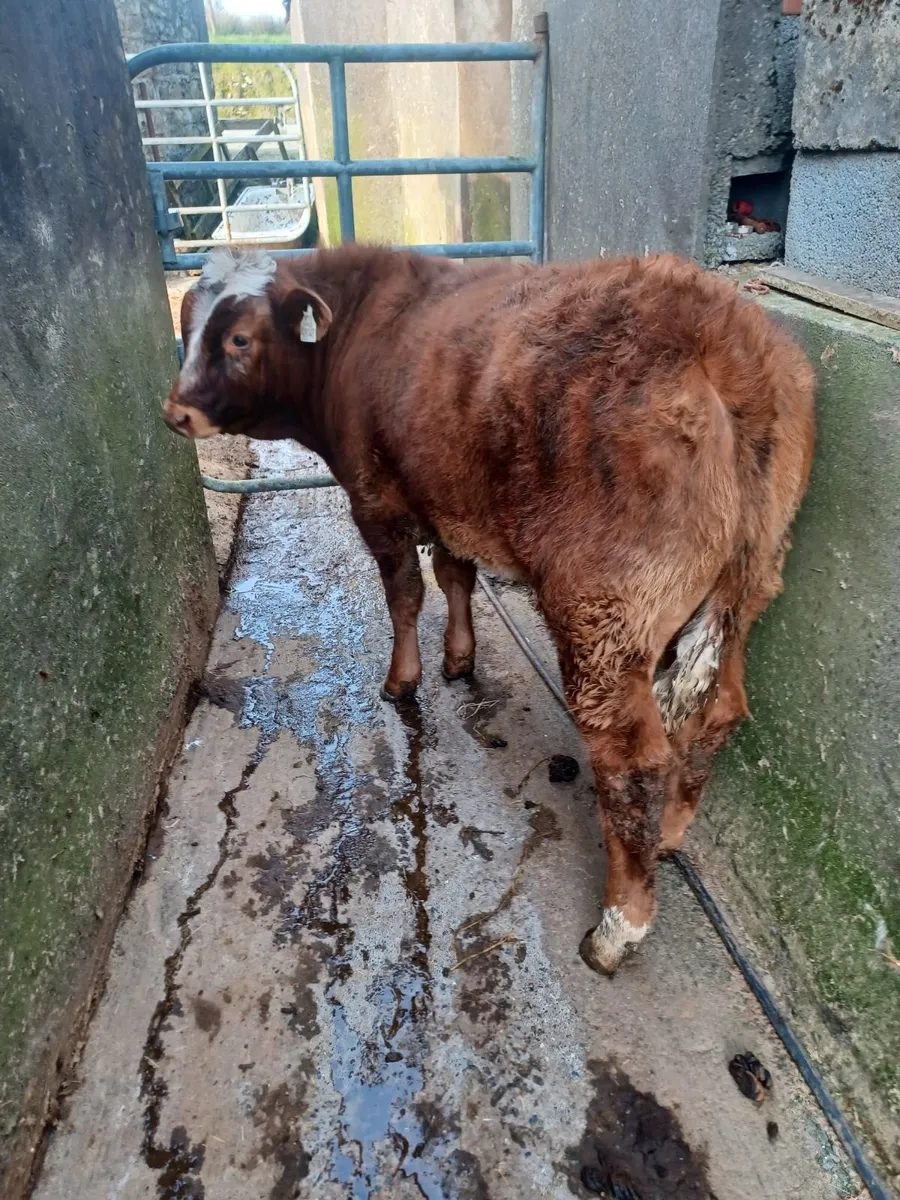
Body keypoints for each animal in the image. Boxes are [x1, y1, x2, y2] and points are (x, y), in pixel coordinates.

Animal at [164, 245, 816, 974]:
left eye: (239, 339)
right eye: (187, 324)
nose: (176, 411)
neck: (361, 327)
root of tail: (725, 332)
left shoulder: (375, 497)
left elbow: (404, 593)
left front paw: (404, 679)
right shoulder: (446, 497)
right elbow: (454, 575)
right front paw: (459, 656)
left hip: (605, 608)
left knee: (633, 759)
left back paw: (618, 925)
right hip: (750, 583)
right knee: (718, 713)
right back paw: (669, 836)